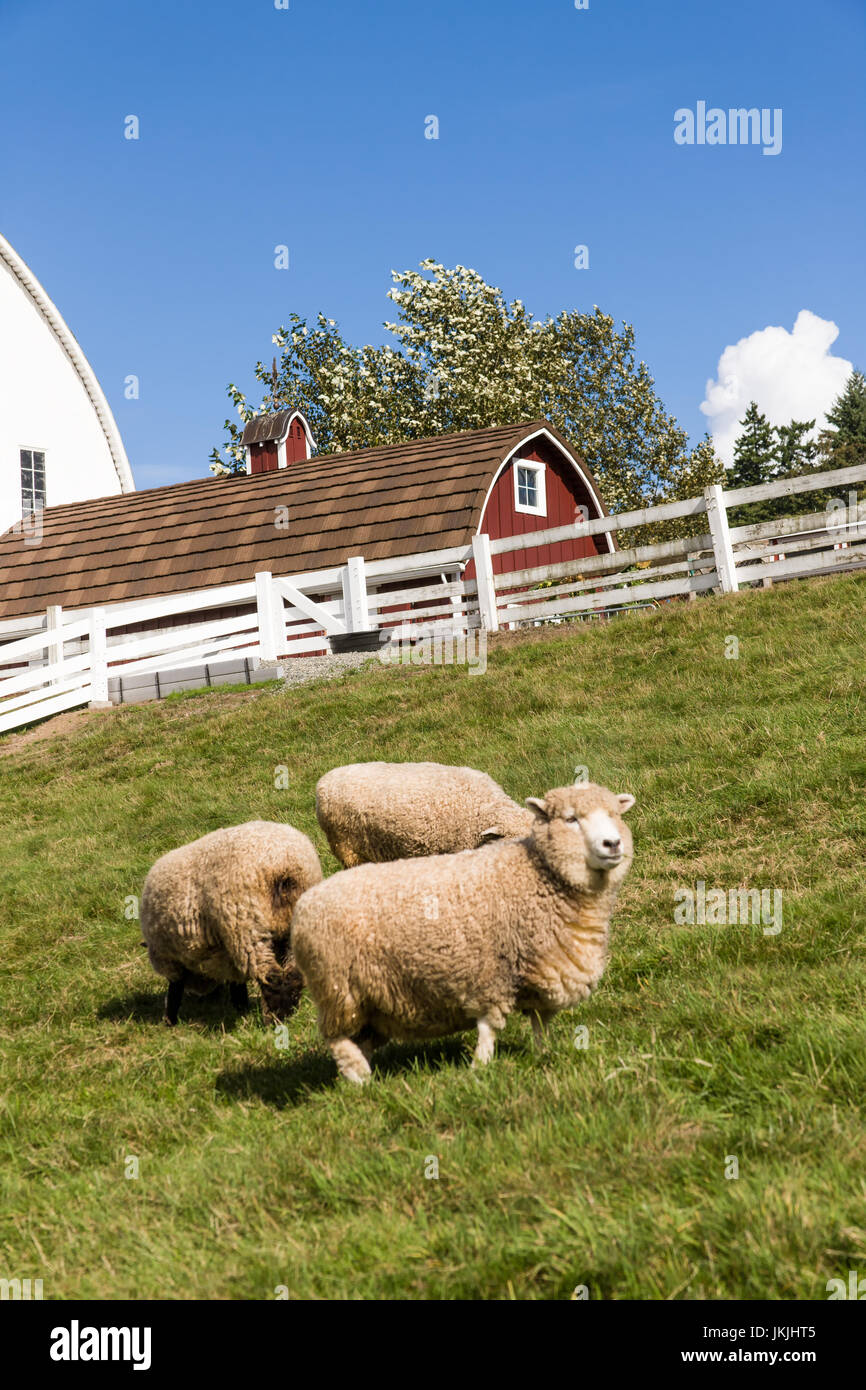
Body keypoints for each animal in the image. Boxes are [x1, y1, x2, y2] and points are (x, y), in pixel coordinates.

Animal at [140, 817, 323, 1028]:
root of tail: (284, 865)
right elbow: (237, 981)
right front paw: (241, 1007)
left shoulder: (171, 959)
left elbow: (174, 990)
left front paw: (170, 1020)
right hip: (294, 923)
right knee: (294, 974)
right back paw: (290, 1012)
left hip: (245, 926)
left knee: (272, 977)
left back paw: (275, 1019)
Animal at [293, 778, 636, 1078]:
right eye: (571, 819)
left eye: (614, 815)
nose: (612, 843)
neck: (537, 875)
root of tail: (306, 902)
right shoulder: (490, 974)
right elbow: (489, 1027)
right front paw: (480, 1068)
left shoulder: (544, 970)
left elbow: (540, 1024)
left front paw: (543, 1055)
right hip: (337, 987)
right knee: (337, 1040)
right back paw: (360, 1081)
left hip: (369, 999)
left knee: (358, 1041)